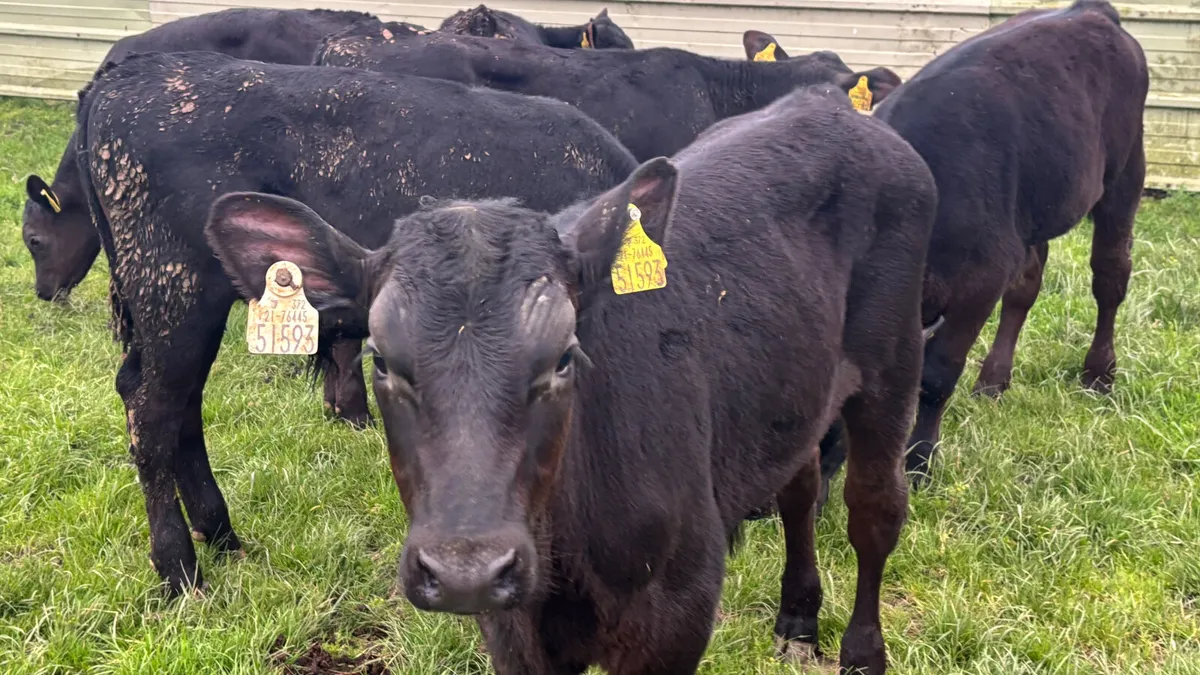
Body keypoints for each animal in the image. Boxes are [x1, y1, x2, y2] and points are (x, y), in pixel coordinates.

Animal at [74, 50, 638, 597]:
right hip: (174, 289)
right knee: (152, 411)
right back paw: (180, 571)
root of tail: (129, 73)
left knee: (178, 404)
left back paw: (220, 534)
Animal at [205, 84, 937, 674]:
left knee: (874, 508)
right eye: (381, 358)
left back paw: (861, 652)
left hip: (894, 362)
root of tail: (827, 104)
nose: (466, 570)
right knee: (800, 484)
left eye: (563, 356)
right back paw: (798, 618)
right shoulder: (513, 631)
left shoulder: (679, 612)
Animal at [748, 0, 1149, 483]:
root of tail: (1090, 11)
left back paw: (1099, 375)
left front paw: (919, 459)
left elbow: (938, 375)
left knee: (1110, 276)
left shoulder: (981, 280)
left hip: (1126, 172)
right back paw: (993, 381)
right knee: (1027, 285)